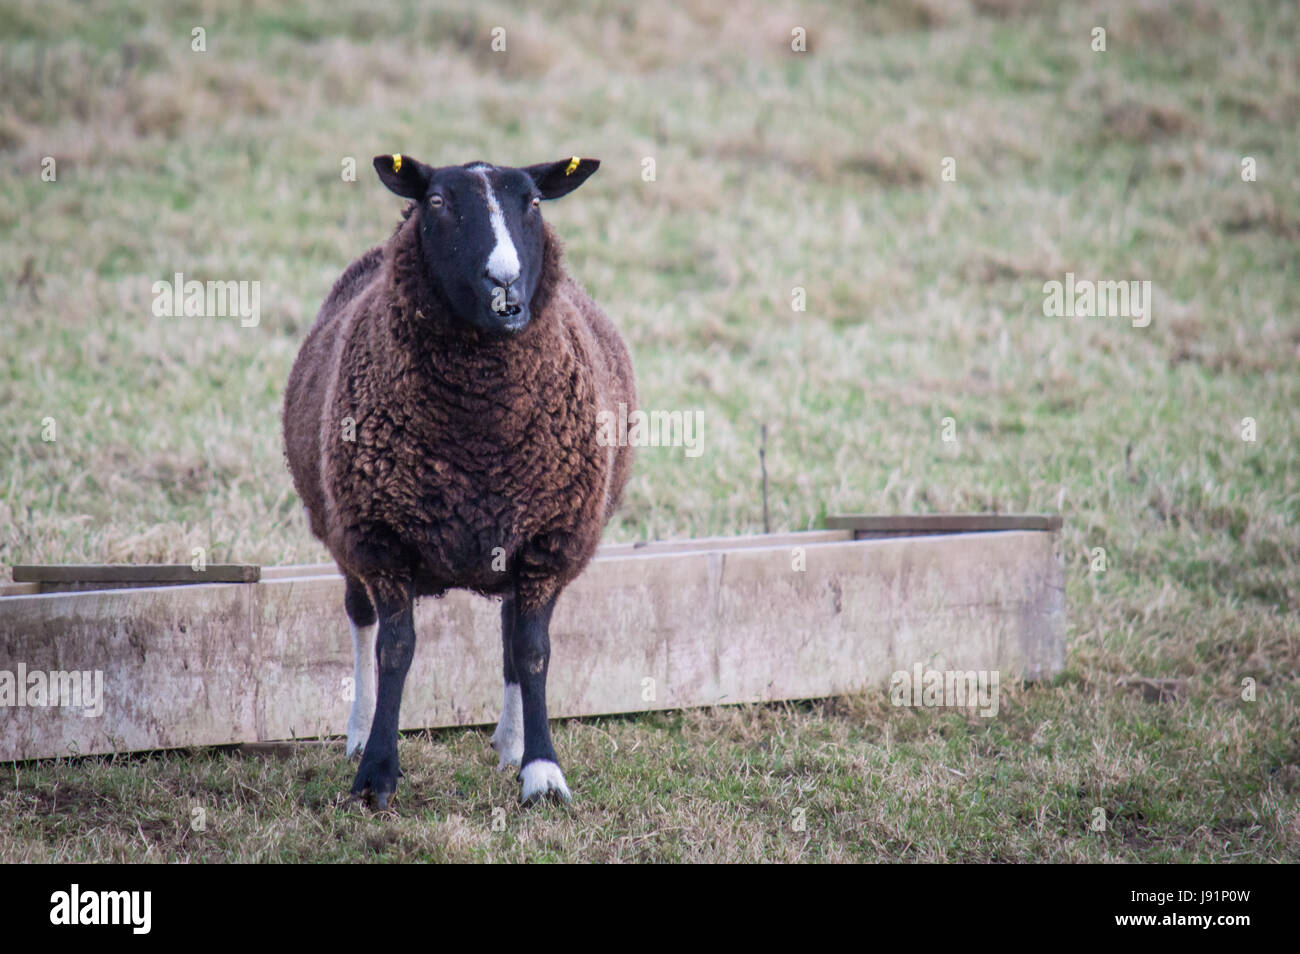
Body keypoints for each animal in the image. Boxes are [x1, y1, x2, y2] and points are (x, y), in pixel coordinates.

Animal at [282, 153, 636, 808]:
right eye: (439, 202)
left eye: (535, 202)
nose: (506, 284)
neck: (478, 431)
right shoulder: (381, 539)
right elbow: (395, 650)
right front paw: (376, 771)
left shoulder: (547, 542)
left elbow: (533, 652)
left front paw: (542, 771)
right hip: (342, 531)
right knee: (359, 620)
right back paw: (356, 731)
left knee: (510, 635)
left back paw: (511, 743)